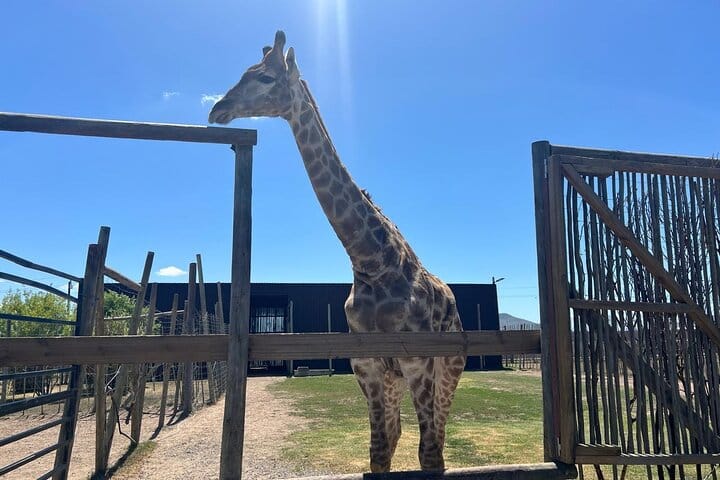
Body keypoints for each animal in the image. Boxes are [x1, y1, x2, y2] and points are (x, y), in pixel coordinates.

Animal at [209, 31, 466, 473]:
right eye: (245, 72)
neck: (371, 260)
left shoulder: (418, 360)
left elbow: (429, 453)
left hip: (448, 370)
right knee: (398, 434)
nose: (217, 109)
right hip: (395, 379)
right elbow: (379, 450)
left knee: (436, 440)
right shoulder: (367, 365)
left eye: (265, 77)